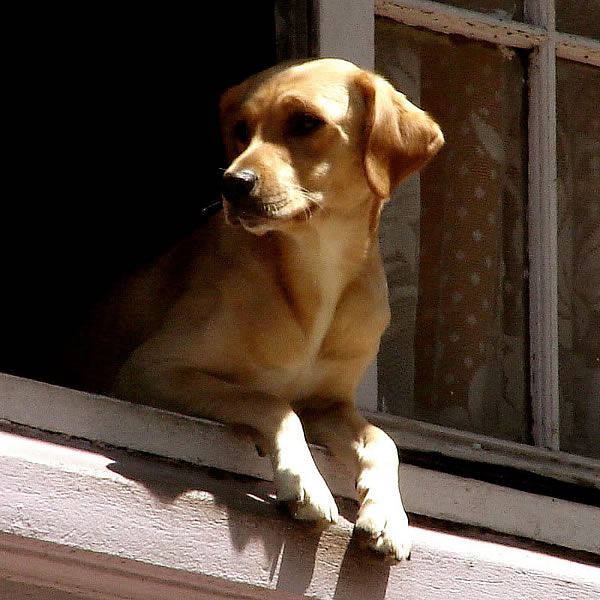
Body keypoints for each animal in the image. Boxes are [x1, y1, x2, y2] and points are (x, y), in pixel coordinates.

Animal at [77, 58, 443, 560]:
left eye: (305, 122)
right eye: (240, 129)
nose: (231, 184)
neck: (316, 273)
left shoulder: (329, 403)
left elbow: (383, 441)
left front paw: (388, 515)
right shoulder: (151, 370)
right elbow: (270, 401)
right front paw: (305, 482)